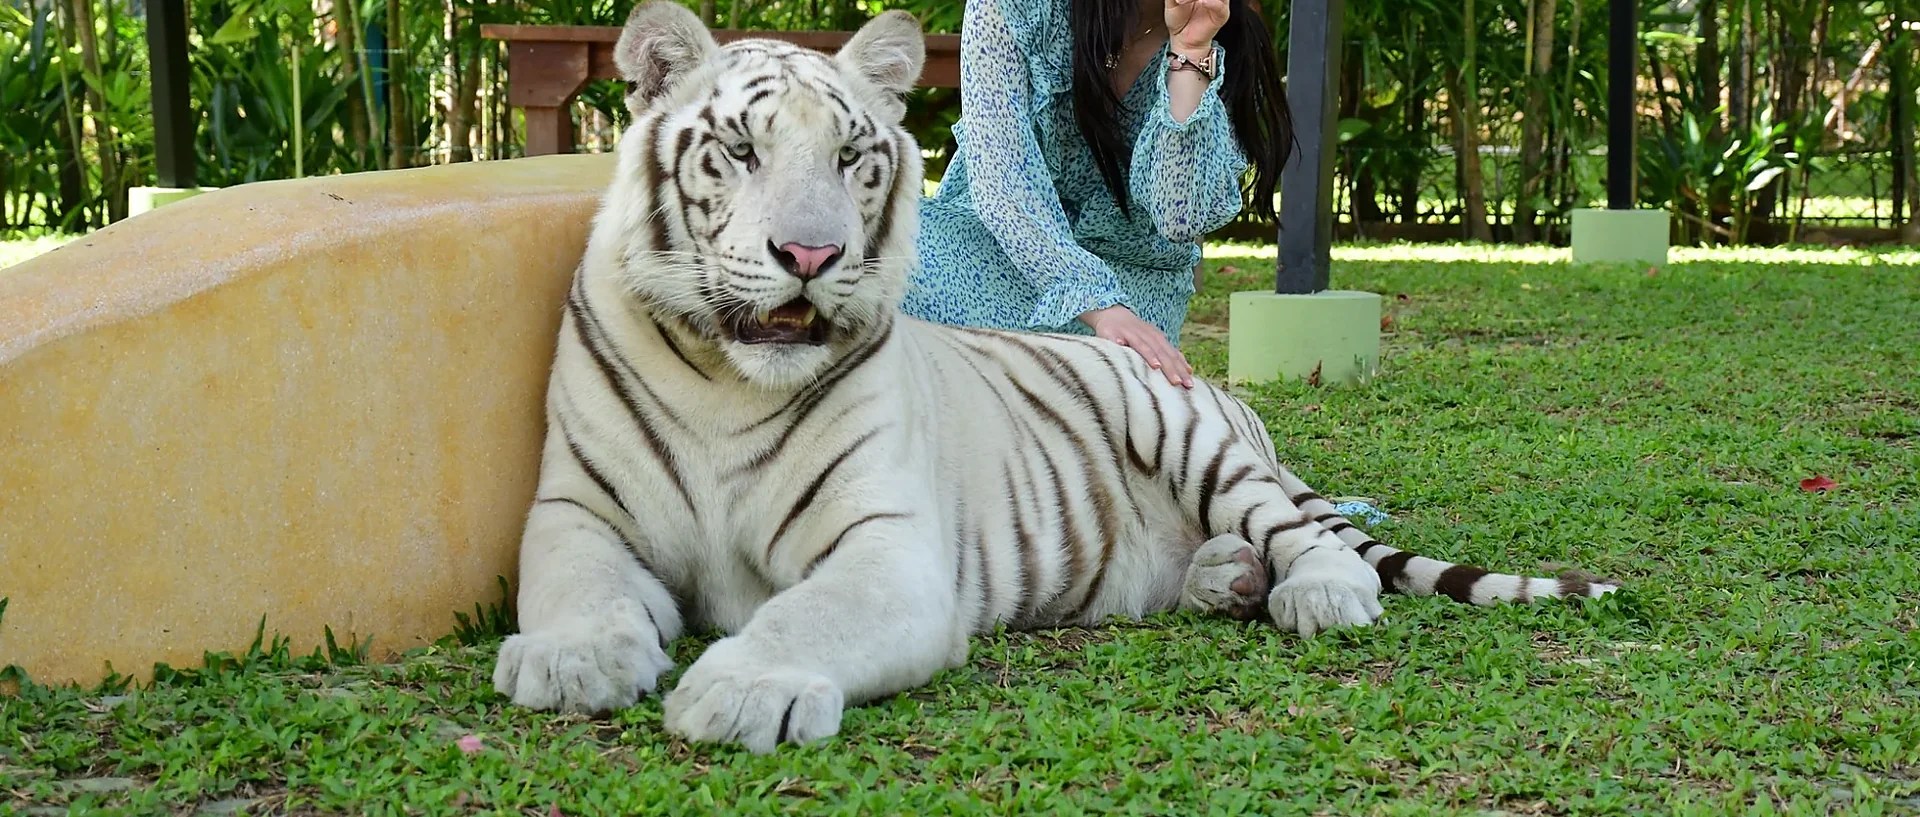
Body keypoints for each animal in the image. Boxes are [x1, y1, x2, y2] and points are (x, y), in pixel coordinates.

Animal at [490, 0, 1620, 754]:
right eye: (736, 149)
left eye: (854, 157)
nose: (811, 254)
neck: (728, 379)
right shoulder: (576, 510)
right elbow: (574, 583)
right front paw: (570, 659)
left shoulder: (890, 547)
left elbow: (808, 614)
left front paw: (736, 692)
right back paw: (1227, 579)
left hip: (1192, 437)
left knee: (1315, 540)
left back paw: (1313, 593)